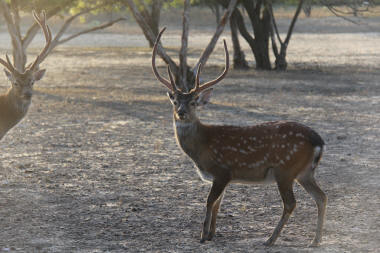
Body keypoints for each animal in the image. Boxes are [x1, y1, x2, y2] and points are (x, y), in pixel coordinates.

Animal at [151, 28, 326, 247]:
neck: (202, 148)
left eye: (193, 102)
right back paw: (315, 240)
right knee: (321, 197)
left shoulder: (222, 170)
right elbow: (218, 204)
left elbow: (209, 201)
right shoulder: (223, 177)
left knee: (291, 203)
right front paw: (212, 233)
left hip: (285, 169)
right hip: (304, 172)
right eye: (174, 101)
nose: (181, 113)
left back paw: (270, 239)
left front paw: (202, 236)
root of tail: (318, 141)